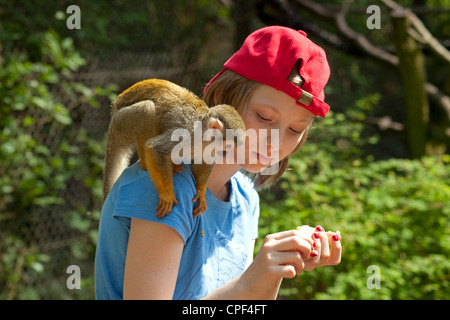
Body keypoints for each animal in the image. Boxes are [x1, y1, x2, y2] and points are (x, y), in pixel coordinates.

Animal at [103, 78, 246, 218]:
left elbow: (204, 162)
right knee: (147, 109)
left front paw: (201, 191)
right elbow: (156, 148)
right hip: (122, 123)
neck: (203, 137)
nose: (225, 153)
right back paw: (145, 164)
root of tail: (113, 112)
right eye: (228, 146)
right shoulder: (187, 134)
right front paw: (167, 193)